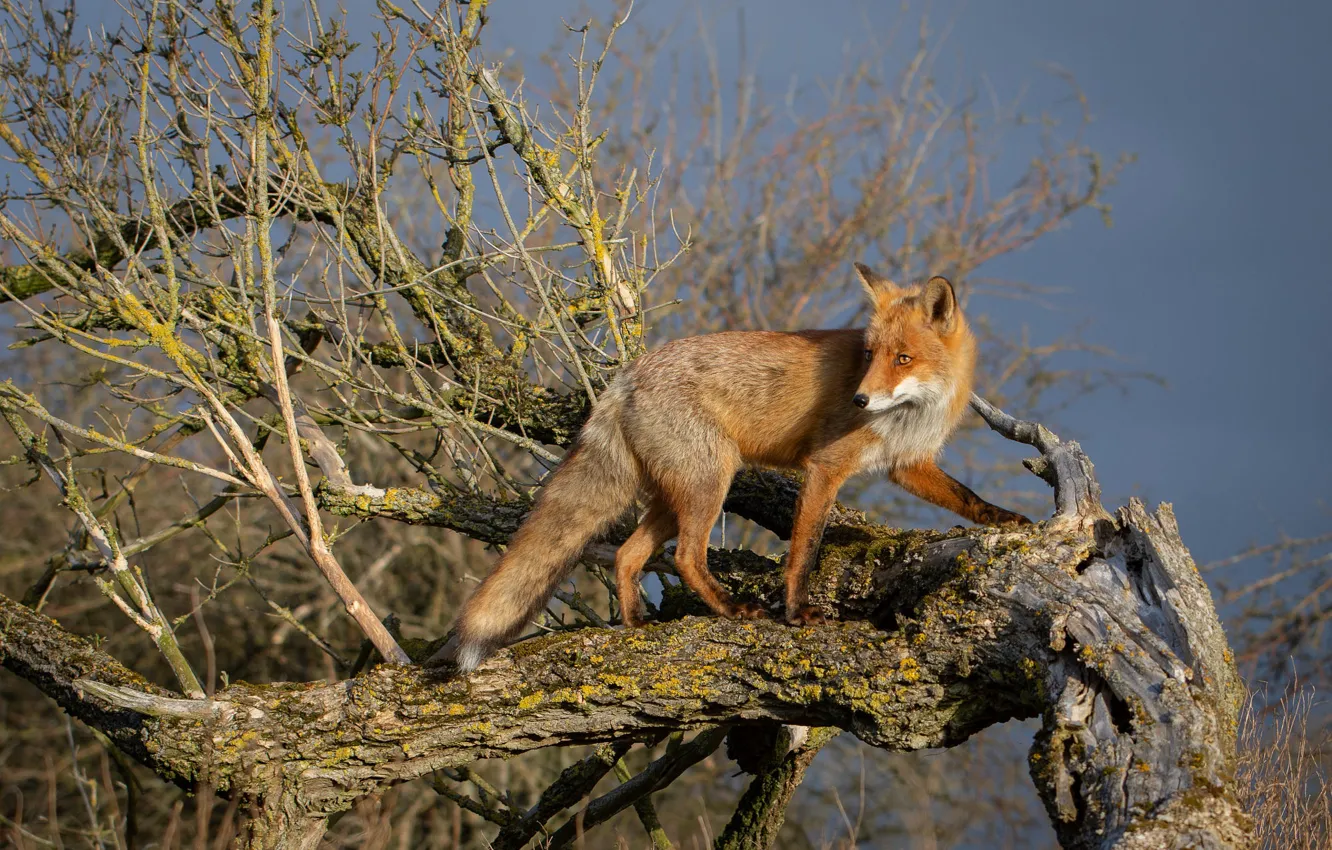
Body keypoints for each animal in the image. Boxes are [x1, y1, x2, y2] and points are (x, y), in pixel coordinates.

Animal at [432, 263, 1030, 672]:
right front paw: (797, 614)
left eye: (902, 358)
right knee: (686, 558)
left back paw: (634, 623)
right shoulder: (825, 467)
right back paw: (729, 608)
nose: (860, 400)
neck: (912, 415)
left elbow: (968, 499)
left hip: (674, 494)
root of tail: (628, 375)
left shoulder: (907, 465)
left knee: (628, 554)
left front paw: (1010, 522)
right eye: (868, 354)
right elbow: (804, 550)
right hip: (710, 482)